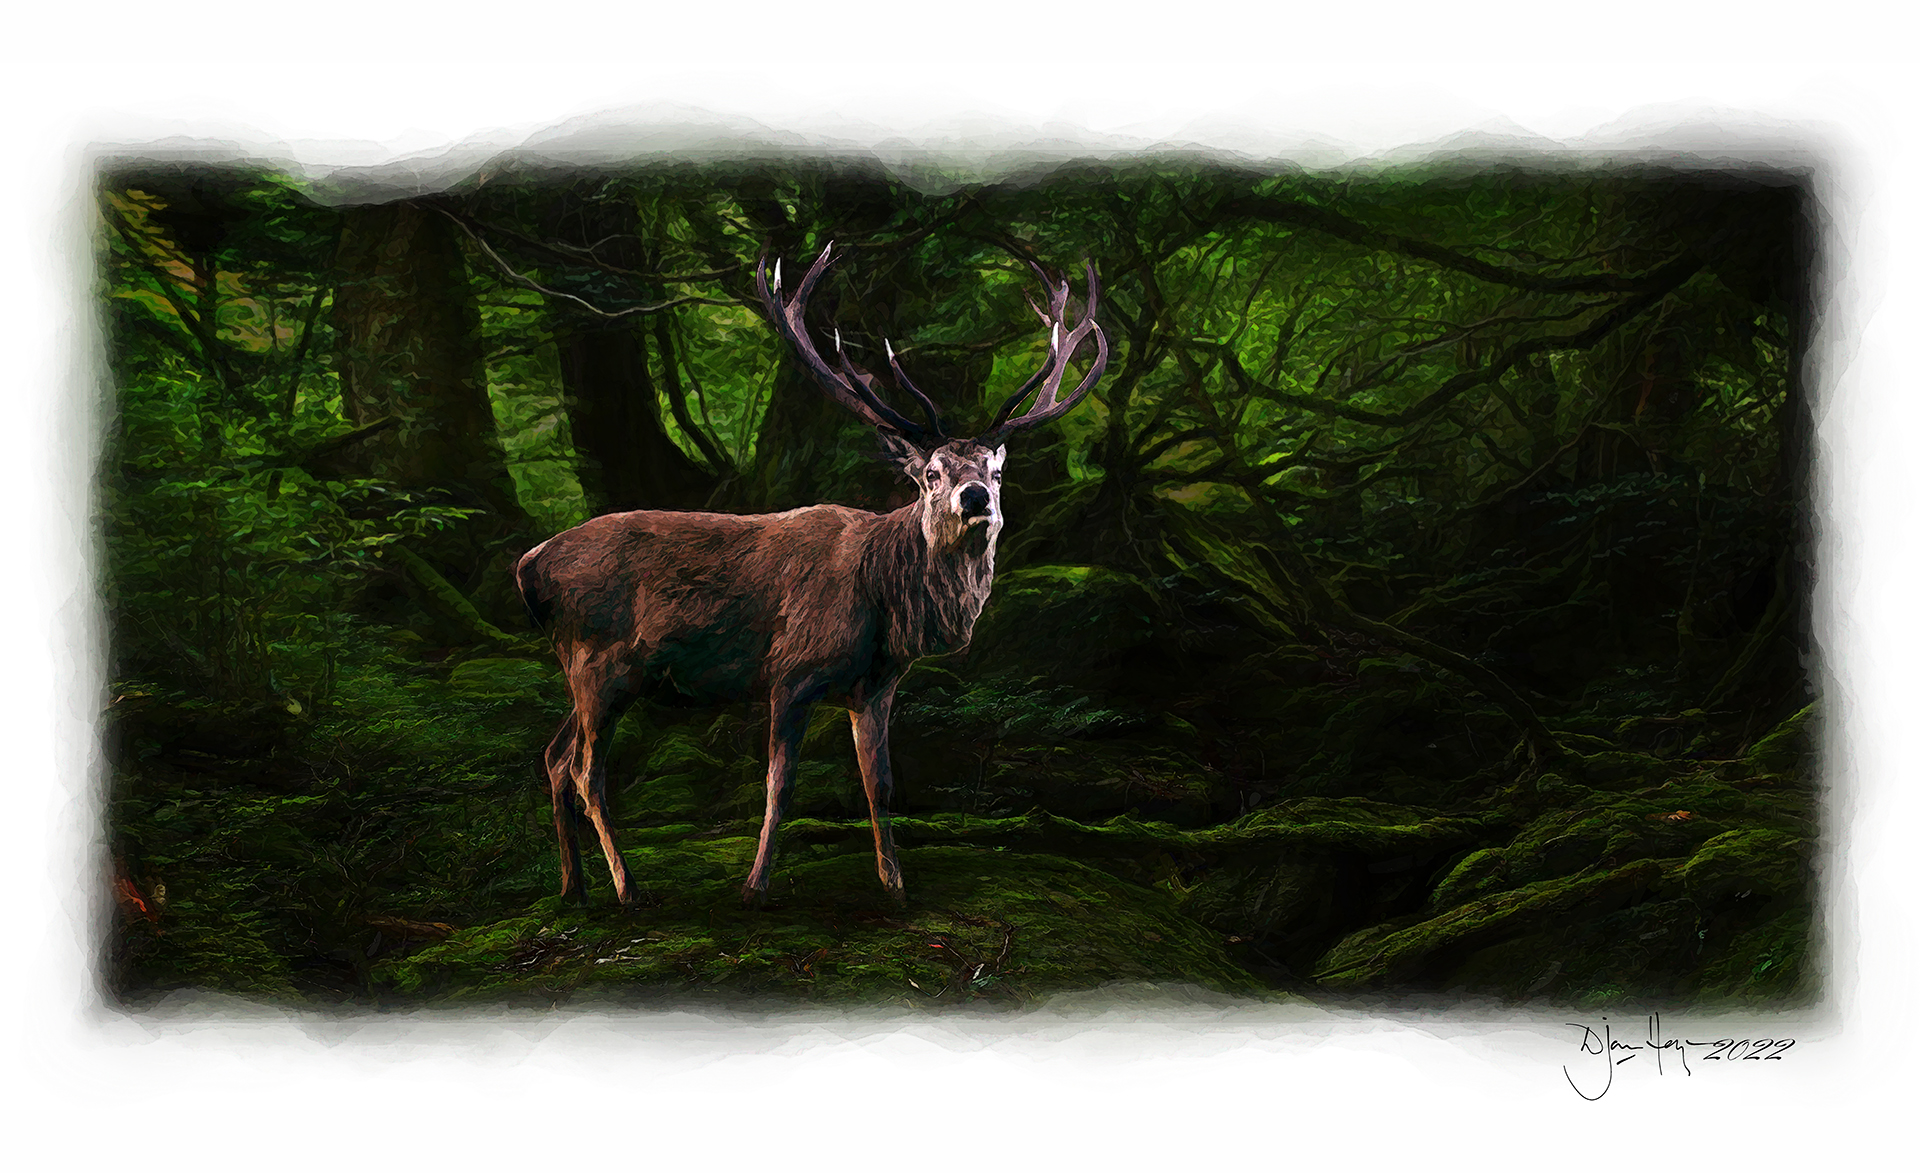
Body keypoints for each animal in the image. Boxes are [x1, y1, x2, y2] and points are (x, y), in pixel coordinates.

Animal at [515, 243, 1107, 908]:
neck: (886, 601)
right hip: (602, 662)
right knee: (587, 771)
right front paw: (754, 886)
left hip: (589, 672)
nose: (975, 496)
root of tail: (530, 565)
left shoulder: (876, 684)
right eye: (930, 473)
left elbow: (880, 783)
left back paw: (573, 888)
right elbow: (780, 785)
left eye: (996, 471)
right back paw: (628, 889)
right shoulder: (791, 671)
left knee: (554, 756)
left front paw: (895, 886)